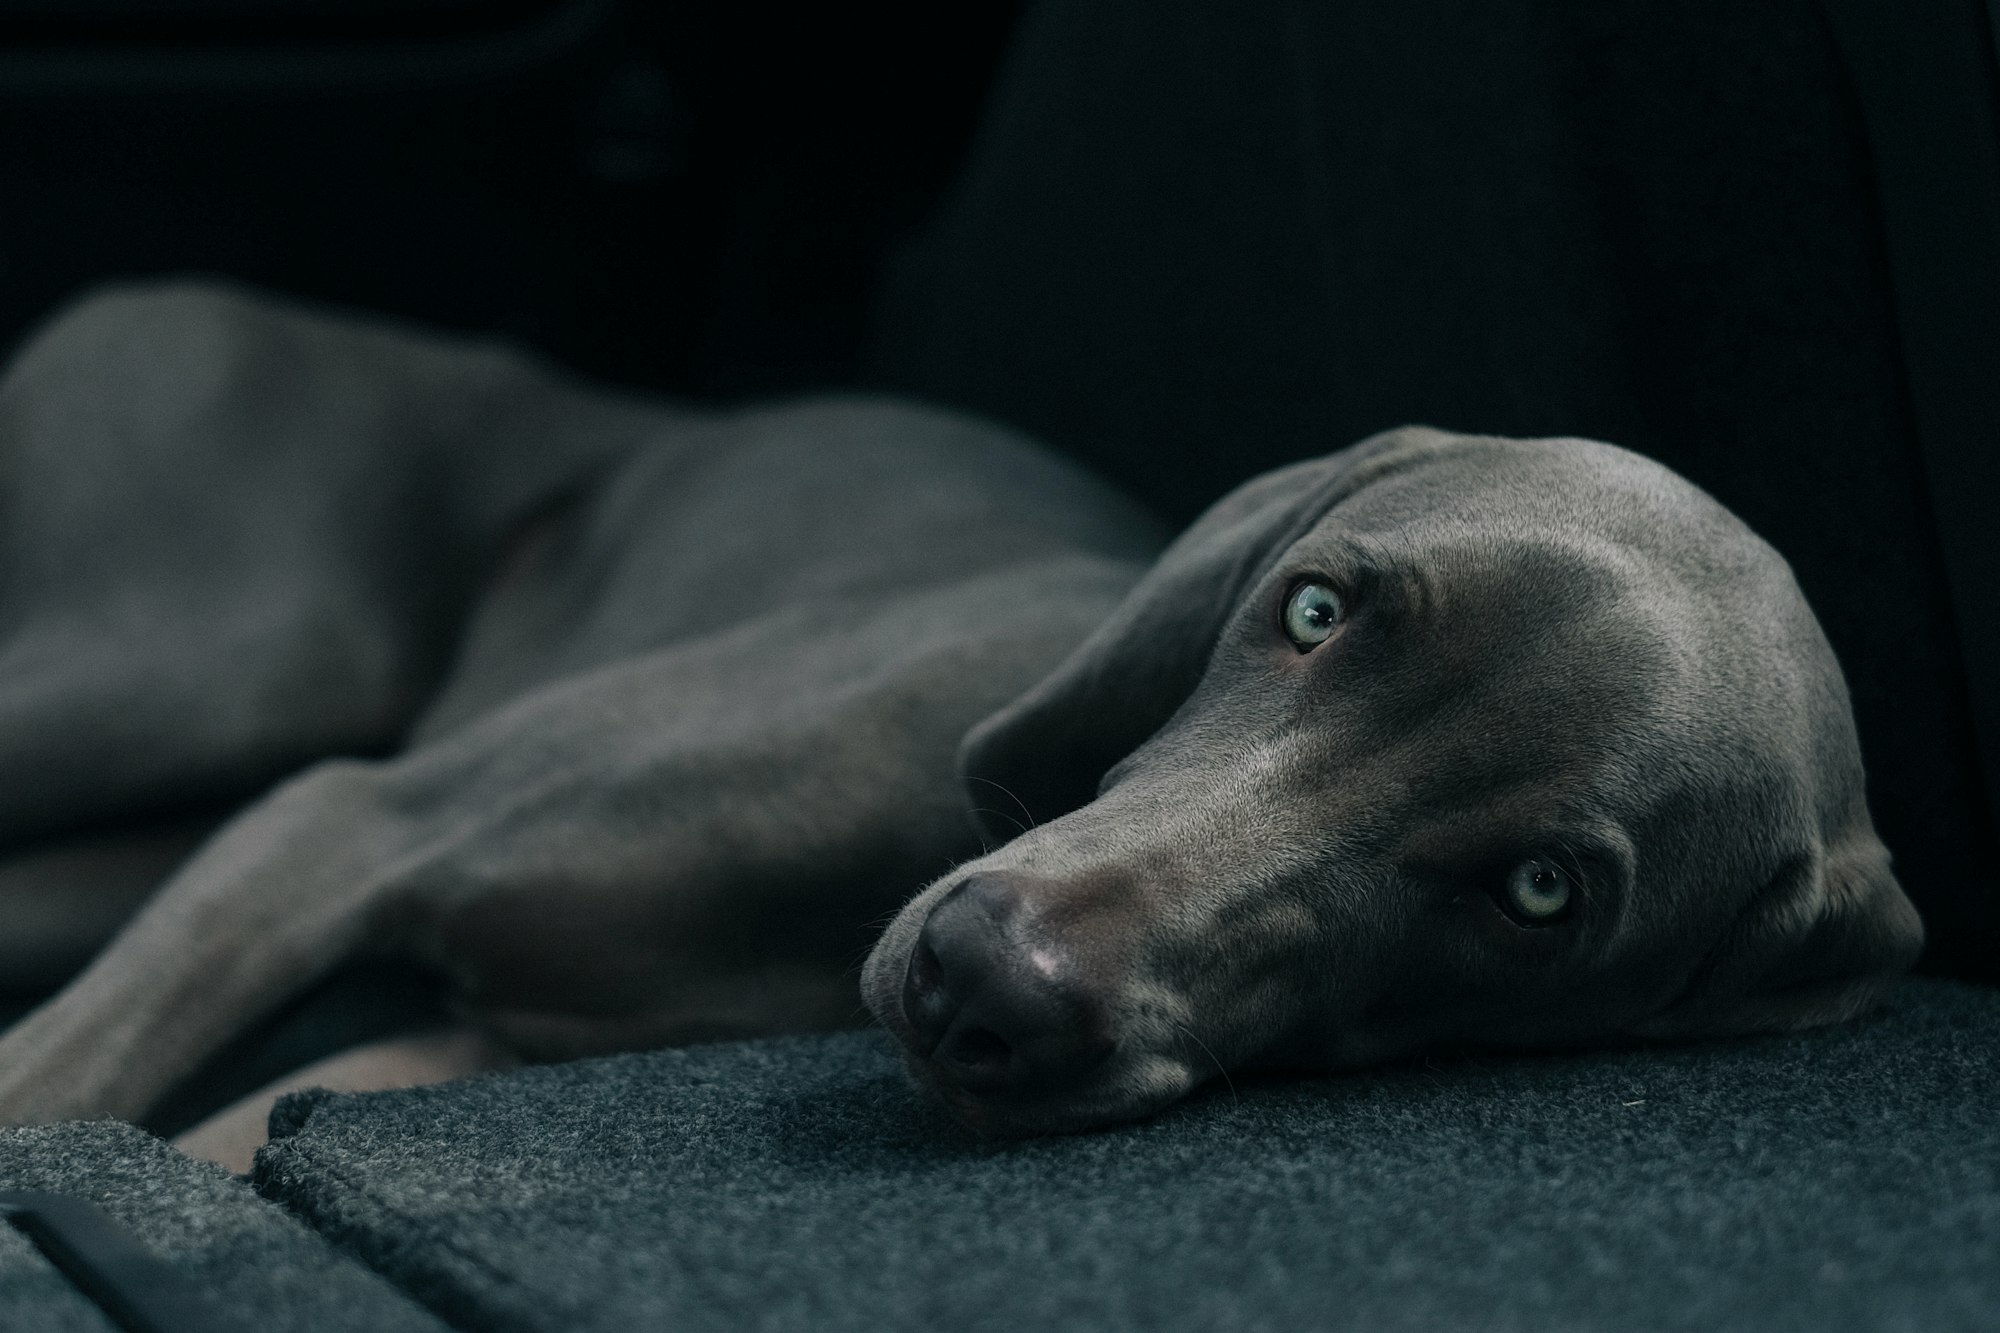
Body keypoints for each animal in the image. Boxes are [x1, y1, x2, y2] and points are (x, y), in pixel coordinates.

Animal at [0, 278, 1920, 1128]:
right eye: (1313, 608)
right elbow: (53, 1094)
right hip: (206, 659)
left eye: (1540, 894)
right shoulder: (347, 823)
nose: (977, 977)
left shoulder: (451, 1049)